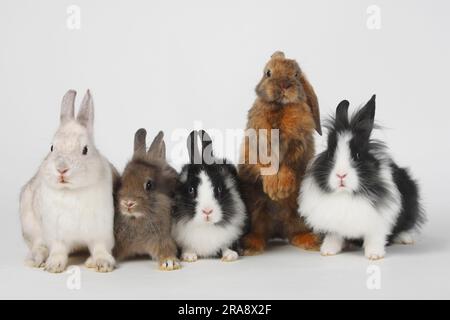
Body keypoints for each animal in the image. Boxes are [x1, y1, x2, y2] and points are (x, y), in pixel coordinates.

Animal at [20, 89, 117, 272]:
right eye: (52, 147)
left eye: (85, 150)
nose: (61, 169)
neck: (72, 191)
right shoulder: (57, 234)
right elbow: (58, 249)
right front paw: (54, 266)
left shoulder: (101, 231)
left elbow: (100, 247)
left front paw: (103, 264)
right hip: (29, 224)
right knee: (38, 244)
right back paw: (37, 259)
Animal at [113, 129, 180, 272]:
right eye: (122, 181)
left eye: (149, 185)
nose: (128, 203)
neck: (137, 219)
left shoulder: (164, 239)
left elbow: (167, 250)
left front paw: (169, 262)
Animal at [172, 130, 248, 262]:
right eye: (191, 189)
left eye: (219, 189)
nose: (207, 211)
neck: (206, 226)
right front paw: (189, 256)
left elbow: (224, 246)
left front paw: (230, 255)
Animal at [239, 50, 320, 255]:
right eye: (268, 73)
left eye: (296, 74)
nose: (284, 85)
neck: (280, 107)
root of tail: (277, 230)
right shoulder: (257, 144)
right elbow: (266, 163)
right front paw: (273, 189)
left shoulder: (299, 145)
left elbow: (288, 165)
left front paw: (281, 189)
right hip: (255, 209)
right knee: (259, 231)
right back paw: (250, 245)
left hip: (299, 212)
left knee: (295, 231)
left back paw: (311, 241)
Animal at [298, 95, 426, 260]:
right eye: (330, 154)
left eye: (357, 155)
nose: (341, 175)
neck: (346, 195)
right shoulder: (333, 222)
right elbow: (334, 236)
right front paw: (327, 251)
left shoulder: (378, 222)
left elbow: (374, 237)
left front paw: (374, 255)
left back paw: (406, 239)